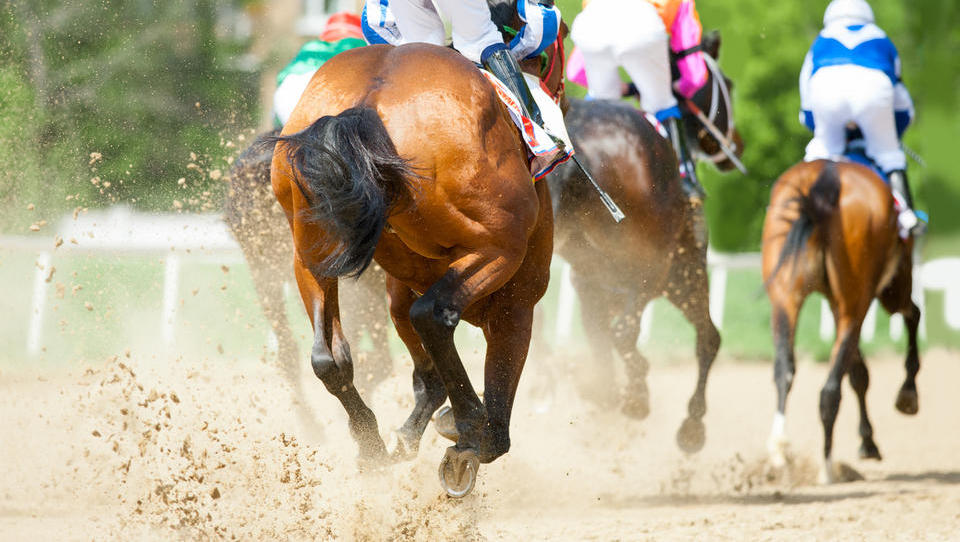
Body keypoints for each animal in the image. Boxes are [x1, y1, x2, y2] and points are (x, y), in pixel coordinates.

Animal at [266, 11, 568, 498]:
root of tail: (369, 100)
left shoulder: (398, 290)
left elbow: (427, 376)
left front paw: (411, 435)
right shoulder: (517, 301)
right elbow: (494, 406)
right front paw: (469, 440)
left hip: (309, 250)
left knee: (329, 357)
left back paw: (370, 441)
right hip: (497, 249)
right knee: (435, 314)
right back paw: (469, 424)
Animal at [548, 30, 744, 454]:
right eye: (727, 85)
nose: (736, 145)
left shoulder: (592, 284)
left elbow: (602, 343)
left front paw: (605, 391)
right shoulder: (678, 273)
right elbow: (708, 339)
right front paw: (690, 424)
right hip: (656, 268)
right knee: (657, 334)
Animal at [760, 158, 920, 484]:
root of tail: (827, 175)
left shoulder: (834, 304)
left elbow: (857, 372)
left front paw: (868, 440)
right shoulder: (886, 289)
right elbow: (911, 318)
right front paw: (906, 396)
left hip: (785, 297)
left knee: (784, 370)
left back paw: (780, 451)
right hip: (865, 297)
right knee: (830, 390)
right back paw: (827, 467)